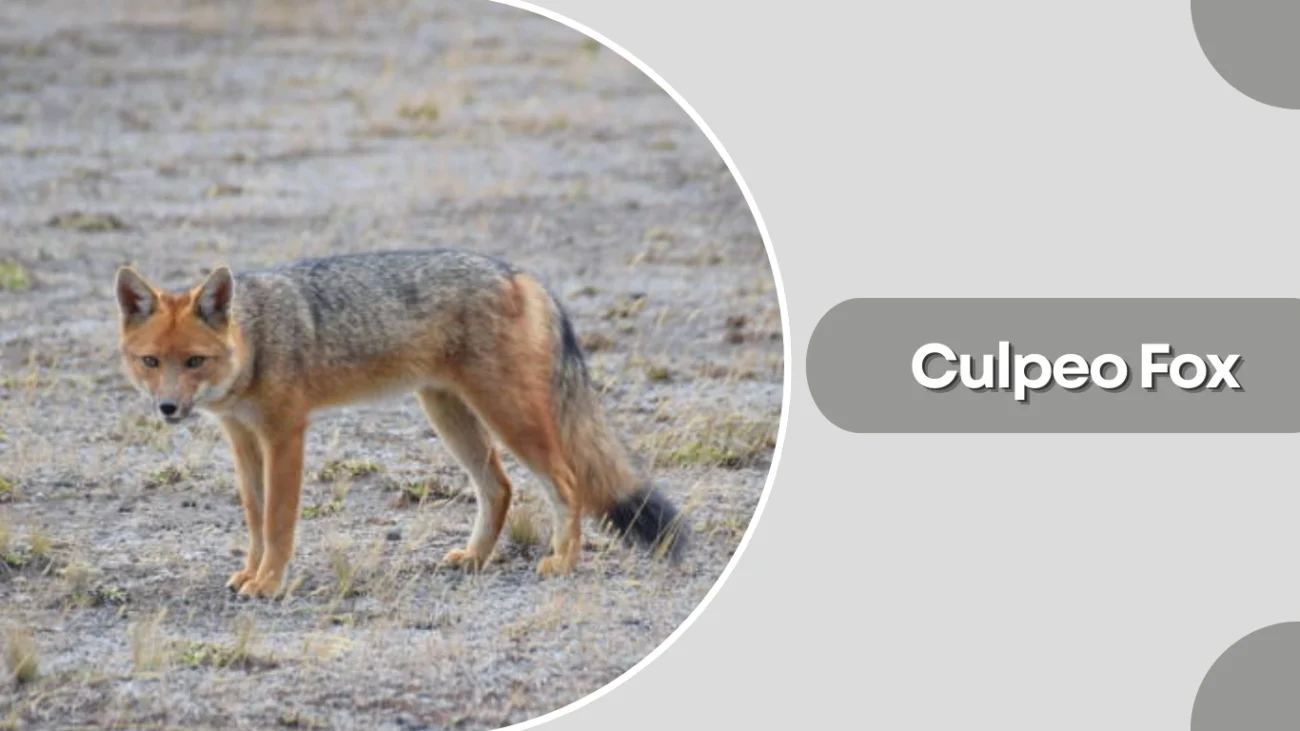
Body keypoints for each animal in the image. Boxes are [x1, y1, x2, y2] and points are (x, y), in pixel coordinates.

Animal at [113, 249, 686, 598]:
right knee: (499, 487)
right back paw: (475, 557)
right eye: (151, 363)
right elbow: (255, 520)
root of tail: (515, 271)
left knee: (566, 482)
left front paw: (270, 581)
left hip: (507, 415)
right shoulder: (243, 439)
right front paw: (251, 573)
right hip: (449, 413)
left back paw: (564, 562)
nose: (167, 408)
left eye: (194, 362)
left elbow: (277, 522)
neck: (257, 338)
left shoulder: (285, 434)